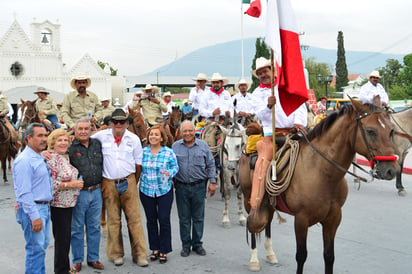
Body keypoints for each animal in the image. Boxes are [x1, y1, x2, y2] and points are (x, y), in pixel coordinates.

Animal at [238, 100, 400, 272]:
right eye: (370, 131)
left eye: (391, 130)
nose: (392, 170)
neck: (322, 172)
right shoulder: (301, 219)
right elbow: (301, 256)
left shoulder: (333, 219)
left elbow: (329, 256)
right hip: (249, 199)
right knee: (253, 225)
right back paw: (254, 260)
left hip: (268, 203)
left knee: (267, 223)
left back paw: (270, 254)